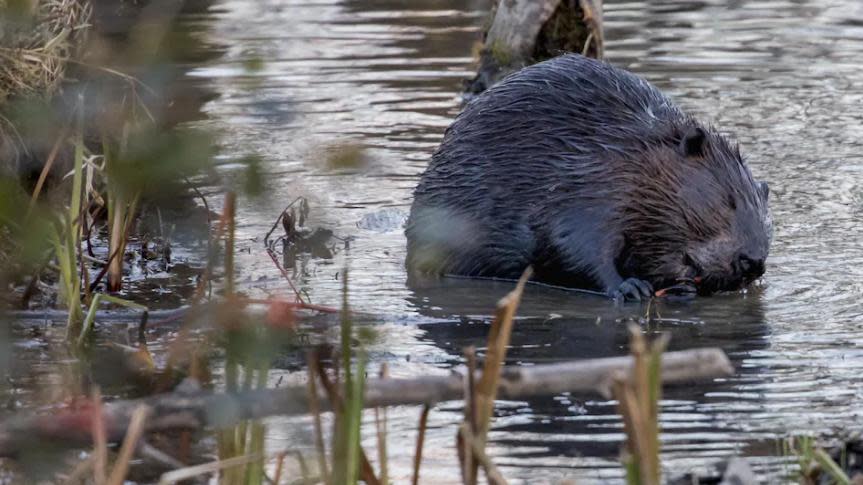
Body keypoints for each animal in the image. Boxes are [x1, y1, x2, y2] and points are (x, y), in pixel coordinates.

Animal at [408, 54, 772, 300]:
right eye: (728, 201)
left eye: (767, 218)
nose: (753, 261)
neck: (622, 153)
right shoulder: (586, 187)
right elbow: (569, 241)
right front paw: (629, 287)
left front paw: (683, 288)